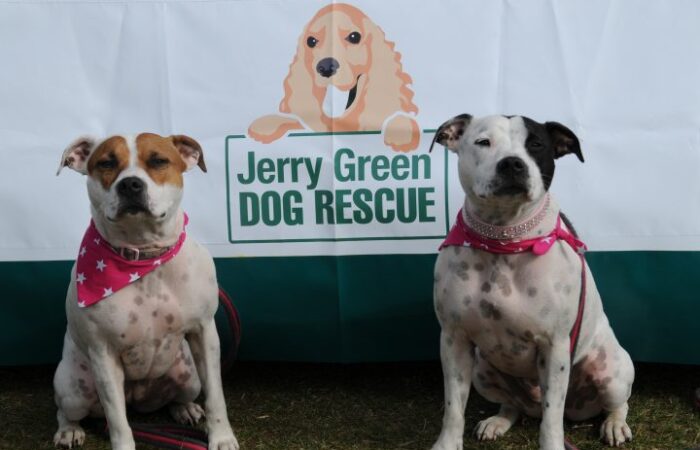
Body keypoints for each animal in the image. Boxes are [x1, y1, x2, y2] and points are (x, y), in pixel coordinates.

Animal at [52, 134, 238, 450]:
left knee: (179, 395)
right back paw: (68, 431)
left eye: (158, 161)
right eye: (107, 163)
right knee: (65, 410)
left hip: (188, 376)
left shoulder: (204, 333)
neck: (143, 259)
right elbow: (117, 421)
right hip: (74, 388)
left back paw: (185, 409)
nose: (130, 184)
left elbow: (216, 396)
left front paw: (222, 437)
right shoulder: (103, 353)